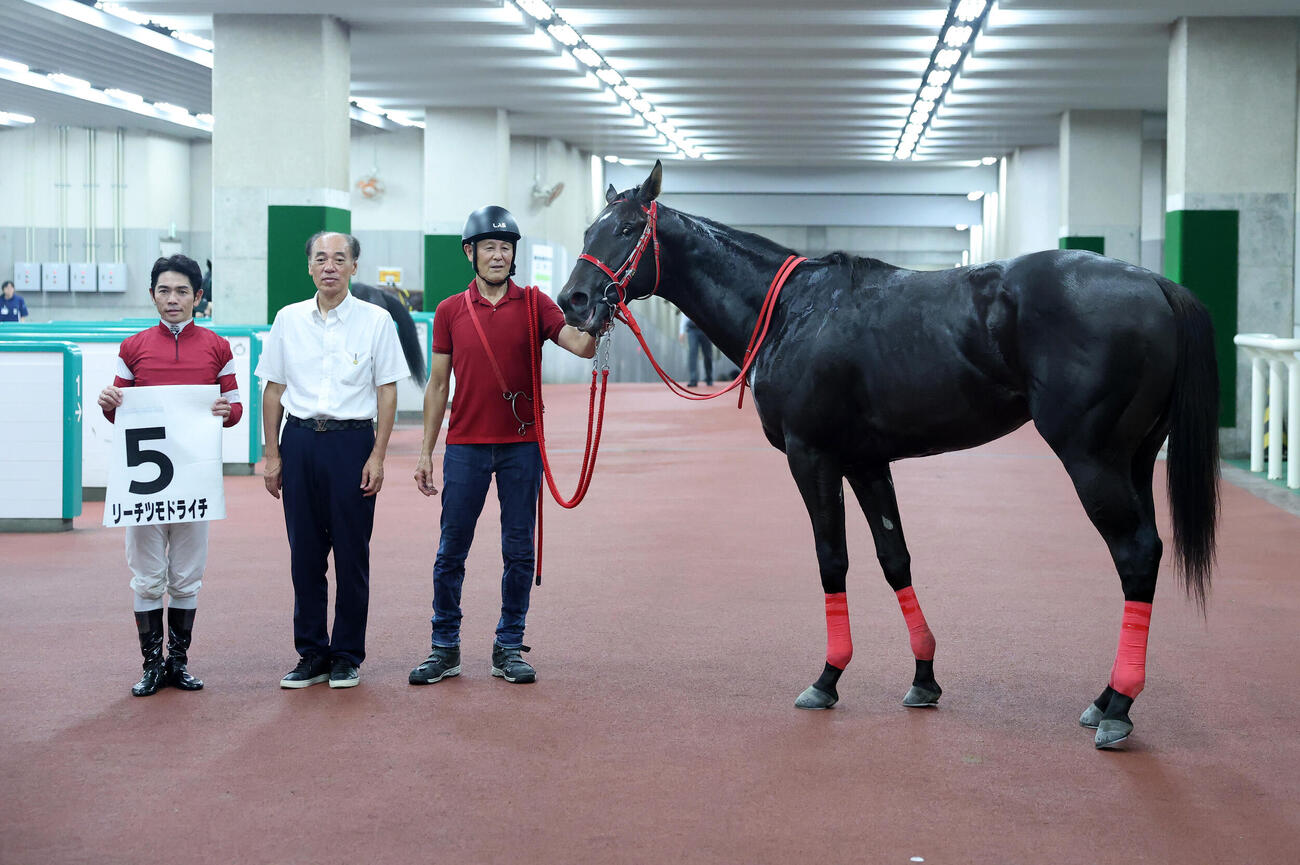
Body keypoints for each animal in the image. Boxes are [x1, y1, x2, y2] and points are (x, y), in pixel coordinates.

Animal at [557, 161, 1220, 750]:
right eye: (587, 229)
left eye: (625, 230)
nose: (575, 300)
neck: (792, 309)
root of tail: (1155, 284)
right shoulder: (866, 461)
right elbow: (894, 558)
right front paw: (923, 678)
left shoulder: (812, 456)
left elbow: (833, 559)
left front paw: (828, 677)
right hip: (1134, 461)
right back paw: (1105, 698)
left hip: (1092, 460)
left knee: (1136, 555)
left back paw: (1120, 705)